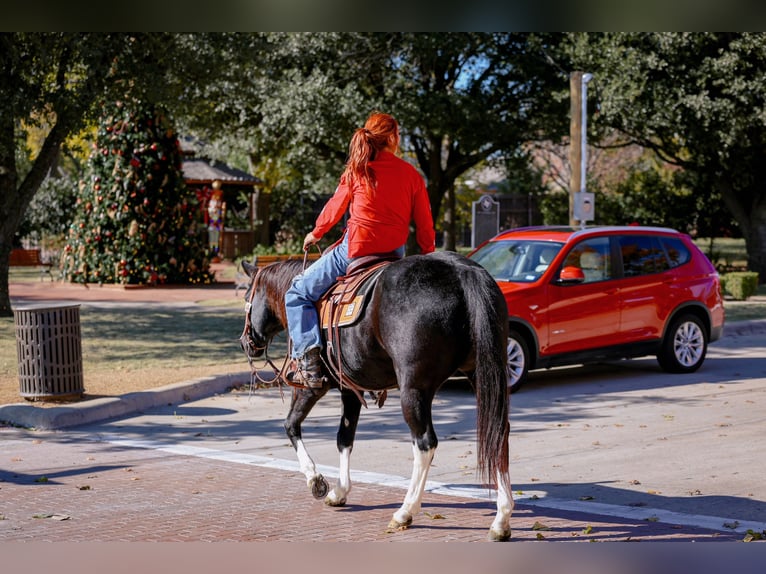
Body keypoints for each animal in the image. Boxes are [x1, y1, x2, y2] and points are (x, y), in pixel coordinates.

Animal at [239, 250, 513, 541]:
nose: (246, 343)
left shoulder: (312, 387)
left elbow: (291, 425)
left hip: (414, 389)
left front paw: (315, 480)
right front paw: (340, 491)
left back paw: (405, 511)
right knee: (498, 433)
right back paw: (501, 518)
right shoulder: (350, 389)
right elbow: (344, 438)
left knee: (425, 443)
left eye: (247, 299)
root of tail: (461, 271)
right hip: (483, 375)